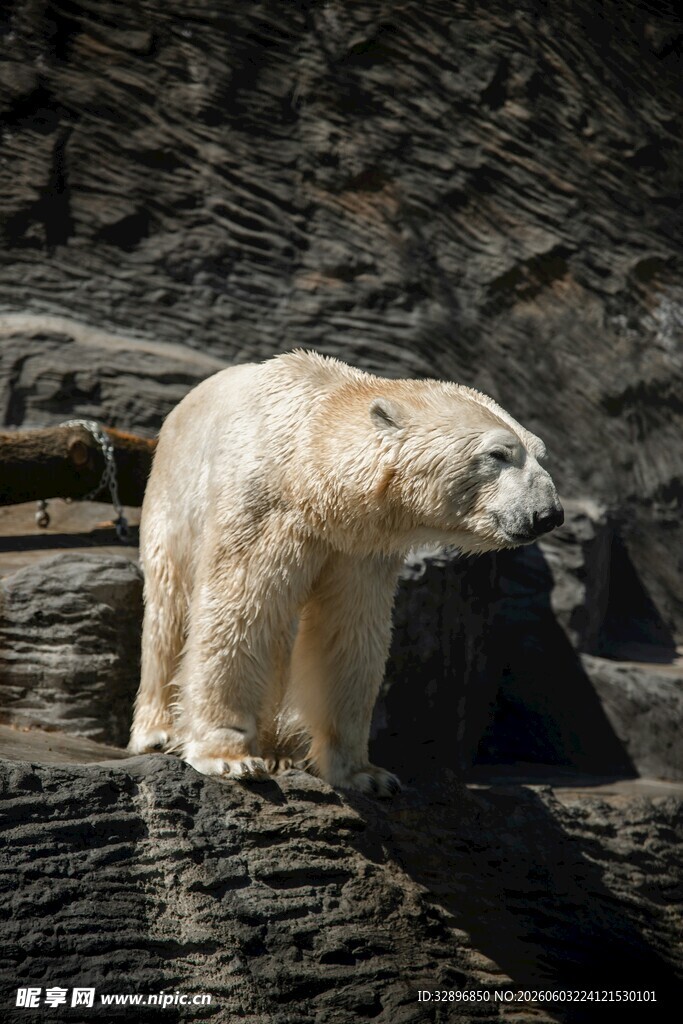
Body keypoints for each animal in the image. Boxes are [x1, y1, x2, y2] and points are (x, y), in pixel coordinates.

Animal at [128, 351, 563, 796]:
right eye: (498, 454)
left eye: (540, 454)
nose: (548, 514)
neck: (306, 466)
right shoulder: (260, 506)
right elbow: (240, 608)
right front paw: (229, 758)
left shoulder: (356, 549)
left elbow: (347, 634)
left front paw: (365, 774)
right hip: (172, 498)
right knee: (168, 608)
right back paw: (158, 732)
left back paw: (278, 750)